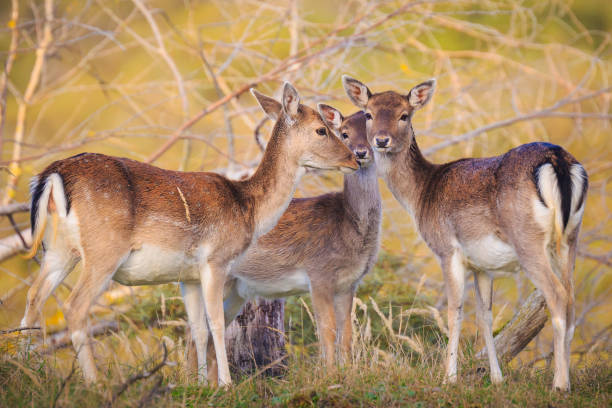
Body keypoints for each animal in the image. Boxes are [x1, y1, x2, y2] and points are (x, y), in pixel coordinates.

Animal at [21, 82, 360, 386]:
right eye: (321, 129)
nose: (354, 158)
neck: (248, 209)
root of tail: (53, 174)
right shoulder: (216, 259)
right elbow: (217, 323)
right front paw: (225, 384)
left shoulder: (189, 275)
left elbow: (198, 327)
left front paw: (199, 385)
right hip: (104, 248)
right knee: (74, 307)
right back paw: (94, 383)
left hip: (58, 249)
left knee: (34, 299)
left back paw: (26, 375)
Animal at [201, 107, 380, 384]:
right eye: (344, 133)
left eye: (373, 129)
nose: (360, 154)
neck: (349, 228)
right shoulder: (319, 274)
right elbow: (327, 330)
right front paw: (329, 376)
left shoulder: (349, 283)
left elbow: (347, 333)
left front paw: (347, 374)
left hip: (236, 289)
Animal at [344, 75, 588, 390]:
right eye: (369, 114)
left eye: (404, 115)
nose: (381, 140)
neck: (421, 196)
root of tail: (558, 160)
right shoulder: (483, 265)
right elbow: (485, 315)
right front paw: (496, 378)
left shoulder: (447, 250)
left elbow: (454, 311)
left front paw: (449, 377)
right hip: (571, 237)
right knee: (571, 298)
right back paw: (565, 379)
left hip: (528, 240)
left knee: (556, 296)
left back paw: (559, 384)